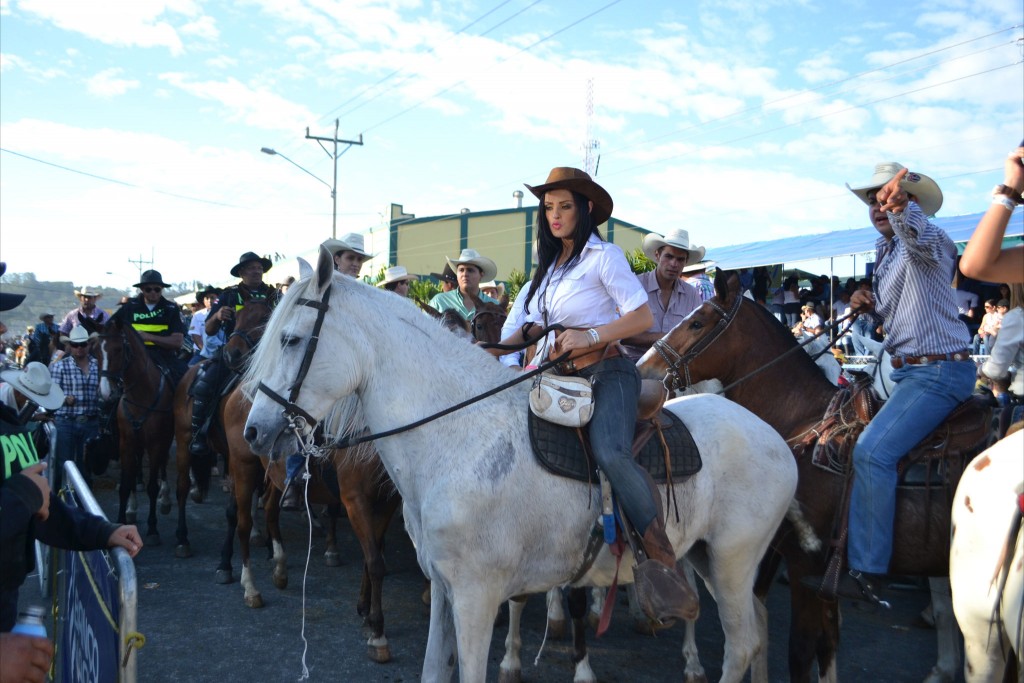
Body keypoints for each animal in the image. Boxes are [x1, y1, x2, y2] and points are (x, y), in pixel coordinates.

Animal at [245, 250, 798, 683]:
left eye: (291, 339)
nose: (254, 431)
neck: (457, 438)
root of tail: (778, 440)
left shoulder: (476, 595)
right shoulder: (443, 588)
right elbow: (433, 669)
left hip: (731, 561)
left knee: (741, 645)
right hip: (710, 558)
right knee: (758, 631)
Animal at [634, 272, 987, 683]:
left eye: (697, 321)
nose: (643, 368)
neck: (805, 426)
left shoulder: (807, 563)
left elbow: (801, 650)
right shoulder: (818, 577)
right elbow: (827, 643)